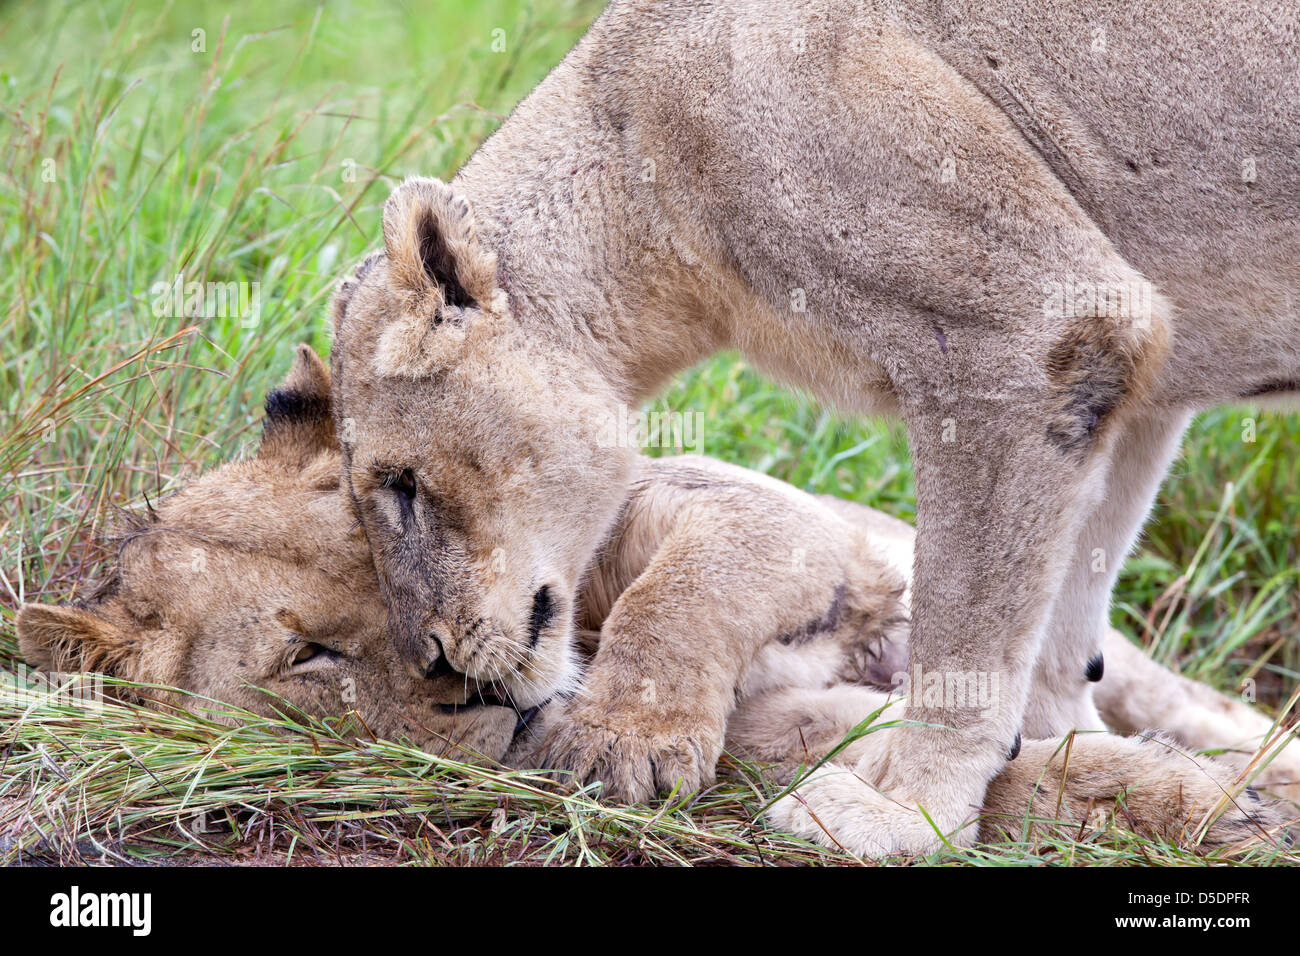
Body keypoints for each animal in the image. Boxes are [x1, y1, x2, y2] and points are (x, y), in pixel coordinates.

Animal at [17, 347, 1295, 853]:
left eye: (385, 540)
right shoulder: (780, 738)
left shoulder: (743, 509)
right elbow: (1003, 772)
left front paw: (622, 735)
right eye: (305, 665)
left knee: (1211, 709)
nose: (480, 682)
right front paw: (1212, 811)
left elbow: (687, 588)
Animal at [327, 0, 1300, 854]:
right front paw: (1075, 760)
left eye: (401, 485)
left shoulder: (1027, 332)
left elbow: (967, 629)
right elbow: (1063, 626)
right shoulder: (1140, 377)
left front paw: (909, 816)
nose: (436, 665)